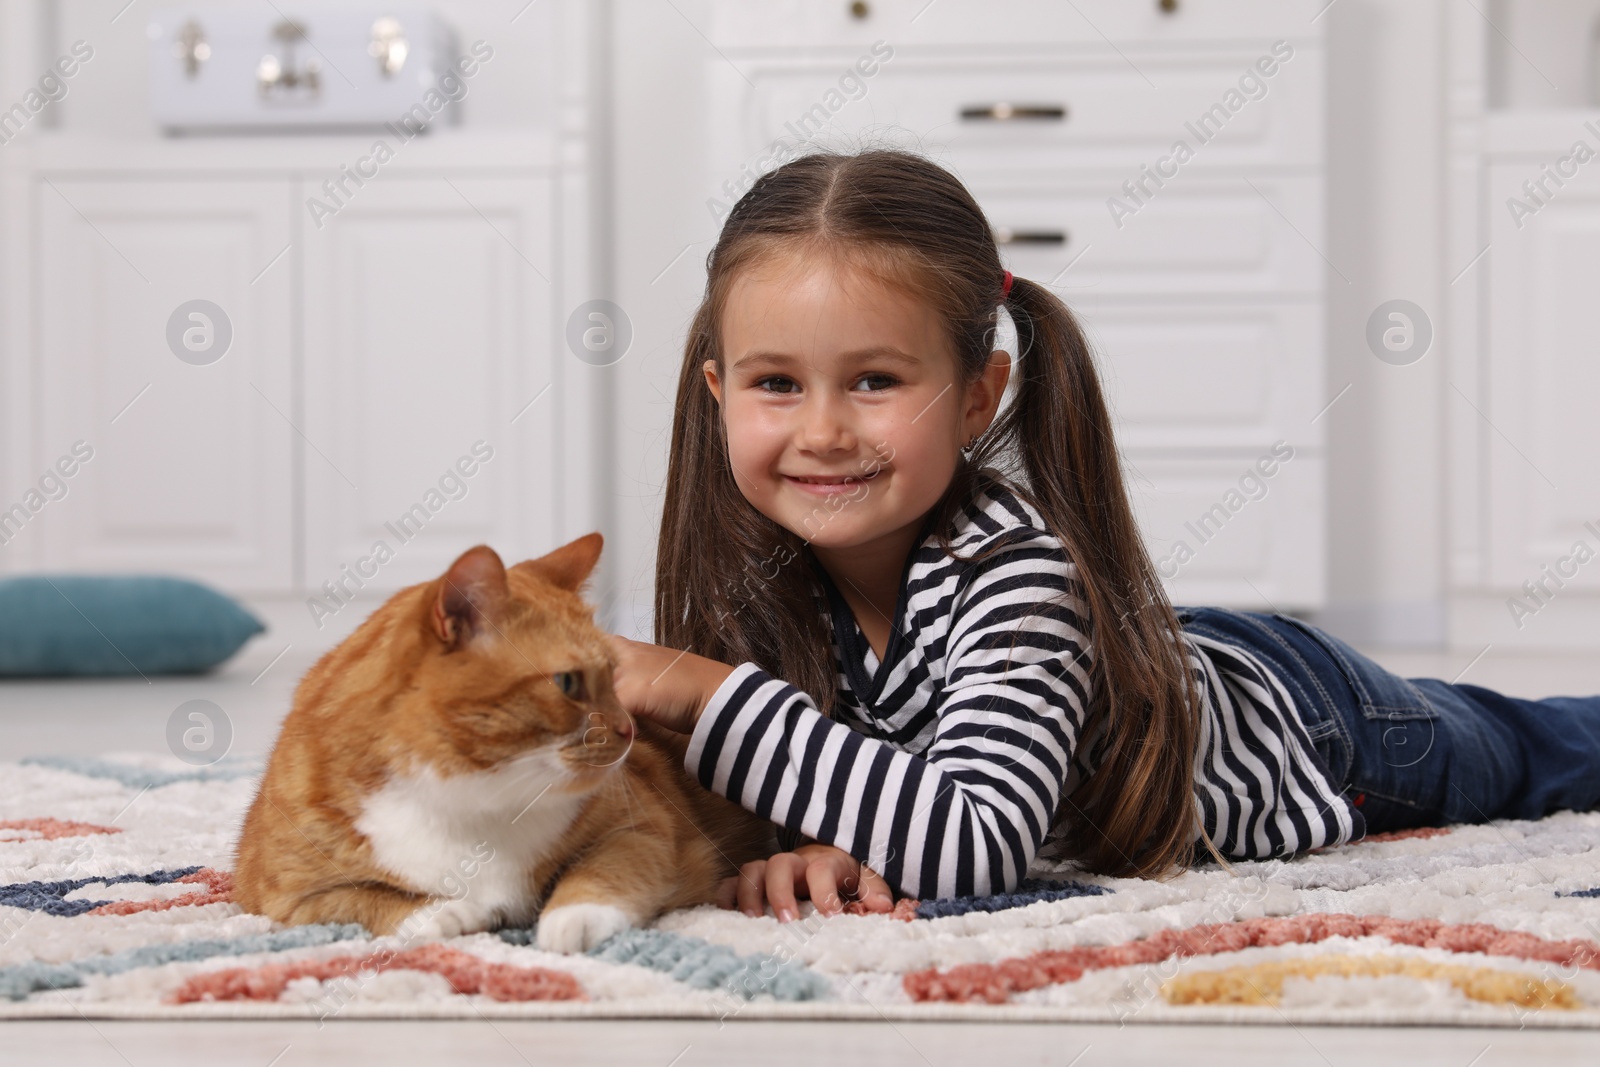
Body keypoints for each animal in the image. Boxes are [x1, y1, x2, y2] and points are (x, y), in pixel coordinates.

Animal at [232, 537, 774, 953]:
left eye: (616, 678)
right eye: (568, 683)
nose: (628, 731)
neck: (476, 796)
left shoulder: (644, 827)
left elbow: (607, 869)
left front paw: (570, 918)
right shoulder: (282, 898)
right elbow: (365, 899)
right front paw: (440, 915)